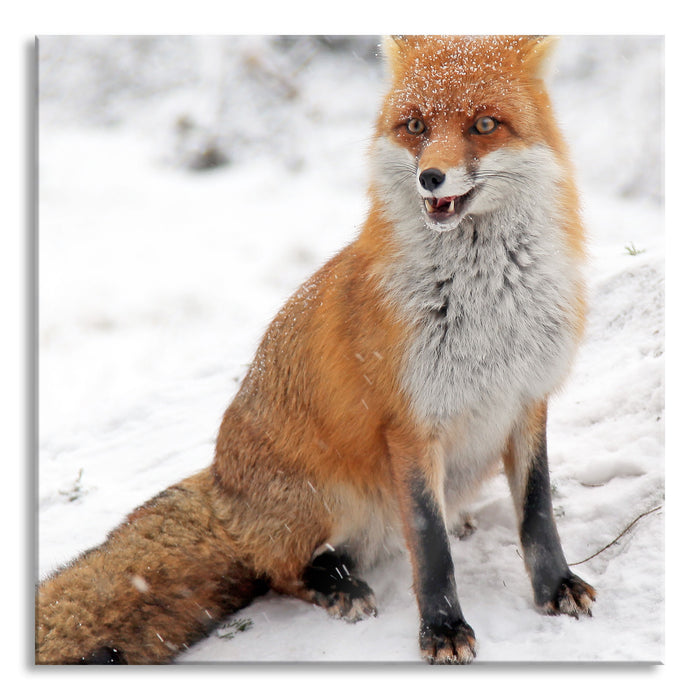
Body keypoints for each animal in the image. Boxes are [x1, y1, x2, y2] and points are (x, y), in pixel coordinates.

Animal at [36, 35, 596, 665]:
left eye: (483, 125)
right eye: (416, 125)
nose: (431, 177)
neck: (487, 307)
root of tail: (221, 487)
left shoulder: (527, 399)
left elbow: (537, 514)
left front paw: (555, 587)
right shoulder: (410, 426)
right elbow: (431, 548)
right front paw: (443, 629)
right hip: (328, 498)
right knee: (278, 570)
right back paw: (336, 585)